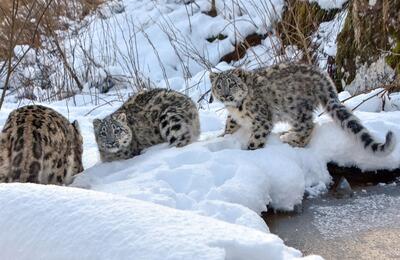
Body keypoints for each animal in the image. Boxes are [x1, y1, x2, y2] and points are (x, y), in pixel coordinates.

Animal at [211, 63, 396, 155]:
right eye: (218, 86)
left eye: (232, 84)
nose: (225, 95)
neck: (237, 107)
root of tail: (322, 76)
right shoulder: (234, 116)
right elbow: (230, 124)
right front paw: (222, 136)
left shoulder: (262, 120)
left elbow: (257, 138)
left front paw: (249, 151)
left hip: (295, 109)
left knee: (308, 127)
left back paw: (288, 138)